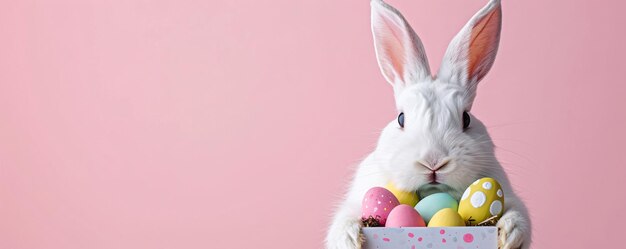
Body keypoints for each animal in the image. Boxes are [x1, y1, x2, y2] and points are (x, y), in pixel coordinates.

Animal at [324, 0, 528, 249]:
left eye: (466, 118)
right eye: (401, 118)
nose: (433, 163)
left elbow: (518, 215)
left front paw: (509, 234)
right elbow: (345, 217)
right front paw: (350, 239)